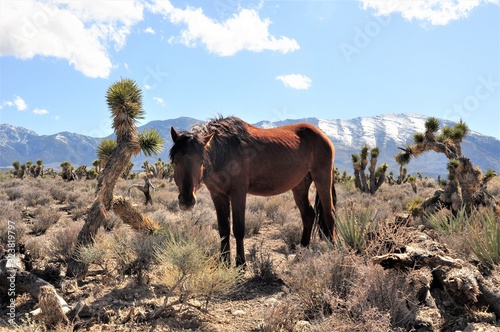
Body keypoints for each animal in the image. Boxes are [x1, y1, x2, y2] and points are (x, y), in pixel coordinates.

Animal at [170, 115, 338, 266]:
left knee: (329, 214)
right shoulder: (217, 195)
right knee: (308, 215)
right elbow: (223, 229)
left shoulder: (238, 193)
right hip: (300, 186)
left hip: (322, 177)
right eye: (175, 161)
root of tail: (323, 136)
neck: (226, 151)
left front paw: (240, 263)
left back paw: (333, 251)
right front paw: (224, 262)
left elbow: (238, 228)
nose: (187, 201)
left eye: (201, 161)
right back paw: (301, 253)